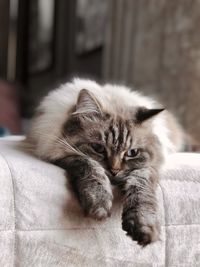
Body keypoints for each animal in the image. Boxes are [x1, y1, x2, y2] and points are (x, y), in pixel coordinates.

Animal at [25, 77, 185, 247]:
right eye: (98, 148)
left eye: (132, 153)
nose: (114, 171)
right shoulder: (64, 154)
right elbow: (93, 171)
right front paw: (99, 204)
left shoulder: (148, 168)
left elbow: (141, 191)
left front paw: (143, 225)